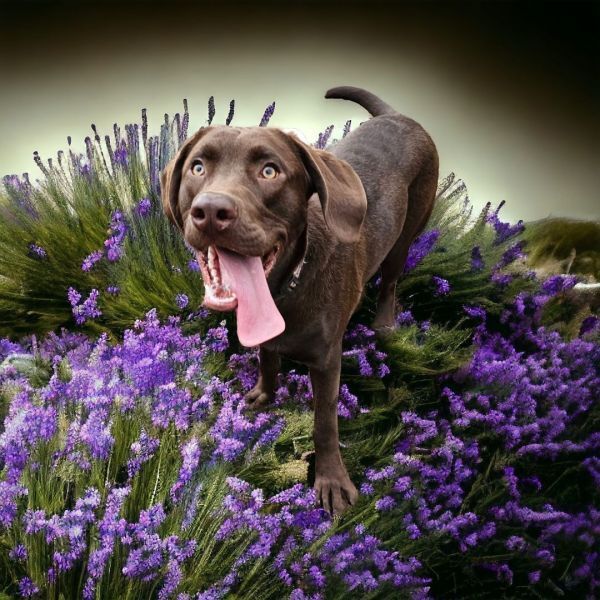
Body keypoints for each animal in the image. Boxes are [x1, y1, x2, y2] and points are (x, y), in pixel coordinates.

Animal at [162, 85, 438, 516]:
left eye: (269, 171)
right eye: (198, 167)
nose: (210, 210)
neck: (281, 290)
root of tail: (397, 115)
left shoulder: (326, 361)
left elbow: (325, 422)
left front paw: (331, 480)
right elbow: (267, 358)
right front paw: (264, 394)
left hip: (406, 233)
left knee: (391, 279)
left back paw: (384, 322)